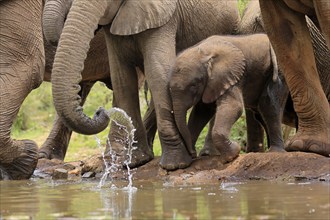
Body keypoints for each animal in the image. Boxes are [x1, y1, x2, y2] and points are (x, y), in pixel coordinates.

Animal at [49, 0, 240, 170]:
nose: (99, 111)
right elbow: (122, 79)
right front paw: (134, 162)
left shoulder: (163, 19)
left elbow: (158, 73)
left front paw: (175, 165)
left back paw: (209, 154)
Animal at [169, 33, 288, 163]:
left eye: (194, 85)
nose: (193, 153)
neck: (204, 53)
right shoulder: (212, 83)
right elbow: (202, 112)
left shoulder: (230, 75)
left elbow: (234, 106)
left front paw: (233, 153)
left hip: (279, 69)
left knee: (269, 105)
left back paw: (275, 152)